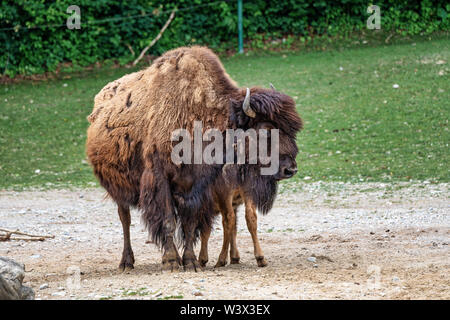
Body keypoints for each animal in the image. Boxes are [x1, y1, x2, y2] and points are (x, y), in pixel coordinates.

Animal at [85, 46, 302, 272]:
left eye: (292, 131)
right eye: (266, 131)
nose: (290, 169)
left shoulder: (194, 186)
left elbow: (190, 223)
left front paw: (190, 262)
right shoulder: (160, 179)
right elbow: (168, 220)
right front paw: (171, 261)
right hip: (118, 188)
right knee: (125, 219)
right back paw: (127, 262)